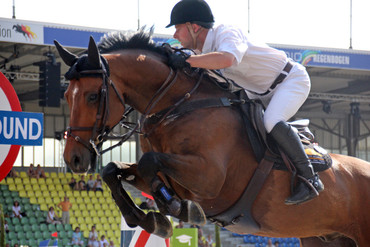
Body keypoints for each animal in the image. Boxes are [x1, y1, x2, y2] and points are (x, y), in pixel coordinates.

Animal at [54, 29, 370, 246]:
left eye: (93, 96)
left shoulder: (209, 177)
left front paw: (176, 209)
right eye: (66, 96)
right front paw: (150, 219)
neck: (177, 105)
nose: (75, 159)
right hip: (323, 237)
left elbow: (149, 161)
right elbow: (114, 170)